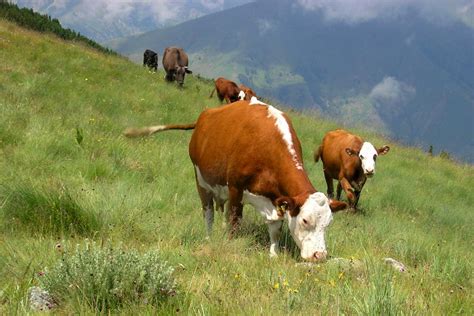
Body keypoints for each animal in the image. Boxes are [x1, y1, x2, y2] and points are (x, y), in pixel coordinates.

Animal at [125, 99, 348, 262]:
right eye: (305, 220)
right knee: (208, 212)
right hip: (201, 181)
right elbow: (234, 221)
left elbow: (275, 228)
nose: (320, 256)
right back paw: (209, 237)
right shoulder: (235, 188)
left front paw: (273, 254)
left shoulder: (275, 199)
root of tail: (204, 116)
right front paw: (230, 245)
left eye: (328, 224)